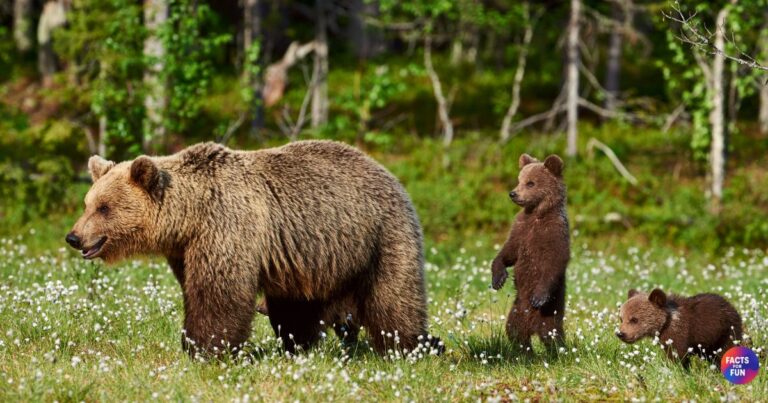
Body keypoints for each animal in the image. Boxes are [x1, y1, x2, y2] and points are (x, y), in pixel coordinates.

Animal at [65, 140, 440, 356]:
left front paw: (205, 348)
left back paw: (414, 346)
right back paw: (298, 345)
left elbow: (218, 292)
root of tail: (388, 173)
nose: (74, 237)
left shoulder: (227, 226)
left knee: (393, 297)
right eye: (87, 203)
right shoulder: (185, 249)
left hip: (380, 235)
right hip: (311, 255)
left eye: (104, 208)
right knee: (296, 306)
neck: (190, 216)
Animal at [490, 153, 570, 352]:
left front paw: (538, 297)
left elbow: (554, 262)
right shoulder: (521, 230)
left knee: (552, 335)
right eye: (519, 180)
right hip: (517, 310)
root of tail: (533, 327)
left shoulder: (554, 233)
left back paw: (558, 352)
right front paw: (498, 278)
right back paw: (526, 352)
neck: (537, 213)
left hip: (550, 312)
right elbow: (508, 252)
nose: (513, 193)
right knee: (514, 331)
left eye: (531, 183)